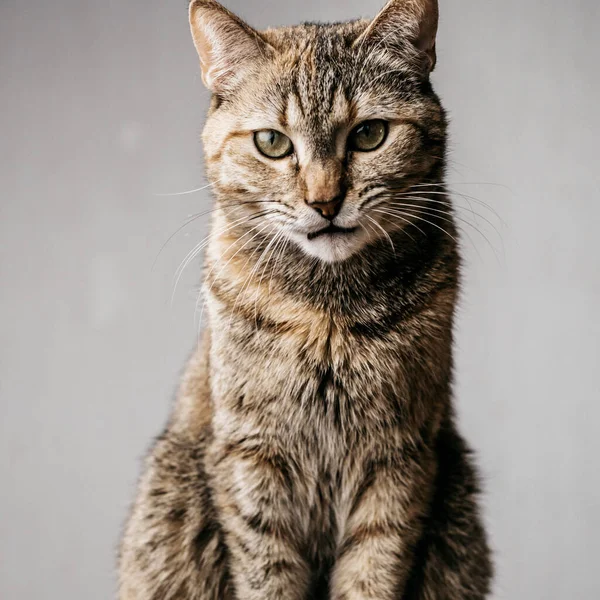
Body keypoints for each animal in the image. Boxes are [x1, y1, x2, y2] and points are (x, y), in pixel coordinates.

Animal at [118, 1, 492, 596]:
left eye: (369, 134)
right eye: (272, 143)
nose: (325, 201)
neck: (327, 310)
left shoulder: (399, 456)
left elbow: (372, 570)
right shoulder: (252, 457)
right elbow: (266, 570)